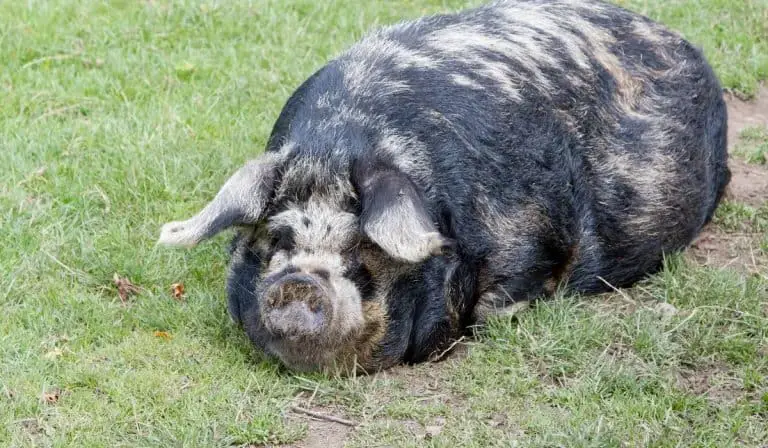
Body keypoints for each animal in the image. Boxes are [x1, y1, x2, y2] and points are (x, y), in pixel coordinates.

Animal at [158, 0, 732, 374]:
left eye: (360, 249)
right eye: (277, 240)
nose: (300, 282)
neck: (339, 142)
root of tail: (680, 39)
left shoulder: (535, 238)